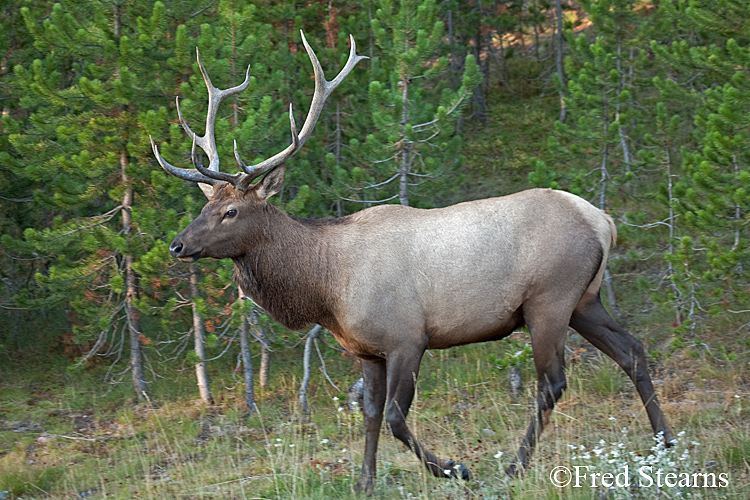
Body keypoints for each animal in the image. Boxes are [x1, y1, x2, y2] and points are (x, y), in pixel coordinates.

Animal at [150, 33, 672, 494]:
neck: (326, 287)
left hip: (549, 299)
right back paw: (664, 443)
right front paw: (364, 482)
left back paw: (515, 467)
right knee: (632, 350)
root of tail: (604, 221)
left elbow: (397, 418)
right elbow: (370, 415)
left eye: (231, 212)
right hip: (585, 299)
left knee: (553, 382)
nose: (177, 245)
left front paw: (457, 469)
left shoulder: (407, 338)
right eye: (205, 204)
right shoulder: (366, 351)